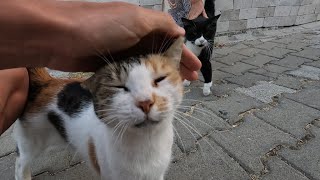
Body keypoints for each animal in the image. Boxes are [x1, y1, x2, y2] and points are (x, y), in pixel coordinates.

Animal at [13, 37, 184, 179]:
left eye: (160, 79)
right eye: (119, 87)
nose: (145, 102)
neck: (146, 142)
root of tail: (46, 82)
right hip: (30, 140)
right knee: (20, 162)